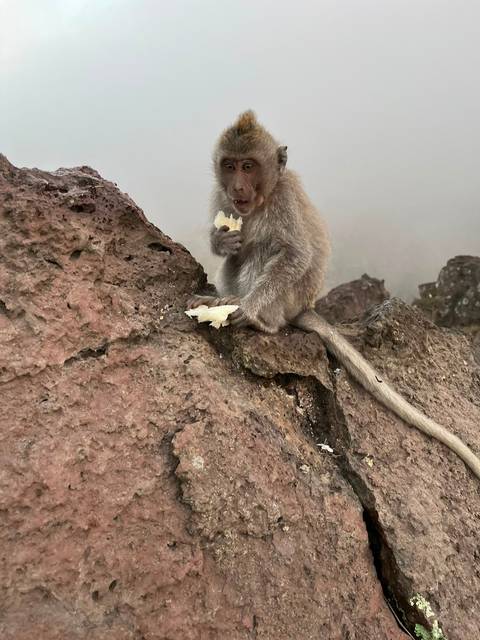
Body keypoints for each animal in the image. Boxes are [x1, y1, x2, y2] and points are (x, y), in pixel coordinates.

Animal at [188, 110, 480, 481]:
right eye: (230, 165)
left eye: (249, 166)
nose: (237, 186)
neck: (263, 199)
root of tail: (303, 308)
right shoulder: (222, 198)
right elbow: (227, 245)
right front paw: (221, 241)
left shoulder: (284, 202)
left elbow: (295, 255)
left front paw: (249, 308)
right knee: (238, 257)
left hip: (289, 299)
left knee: (264, 253)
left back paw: (260, 319)